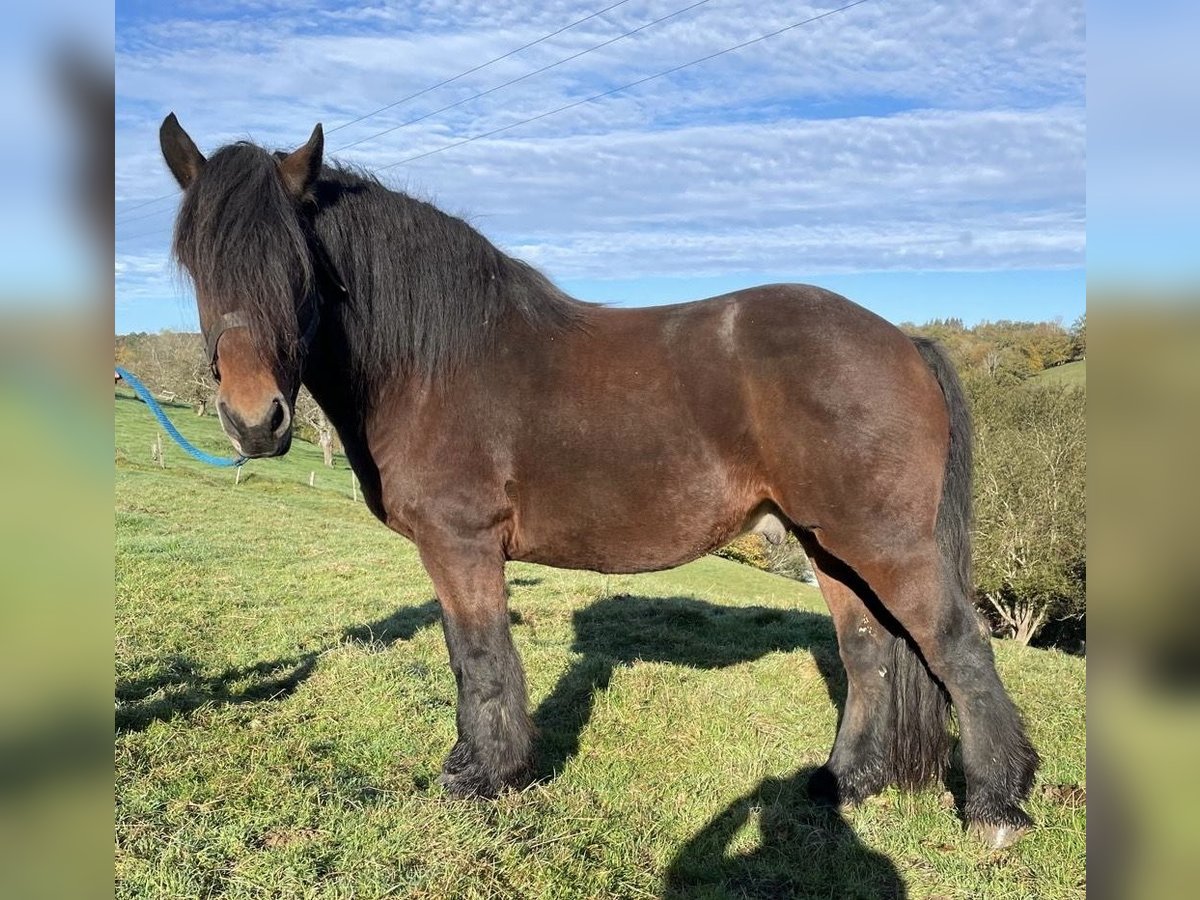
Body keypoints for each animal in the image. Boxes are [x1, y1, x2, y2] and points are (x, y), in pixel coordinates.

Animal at [159, 116, 1041, 849]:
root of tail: (901, 340)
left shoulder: (461, 541)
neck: (431, 361)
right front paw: (480, 765)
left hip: (883, 541)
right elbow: (465, 651)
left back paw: (996, 808)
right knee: (867, 653)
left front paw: (484, 777)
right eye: (197, 263)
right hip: (828, 544)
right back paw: (845, 784)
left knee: (957, 645)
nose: (255, 422)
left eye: (298, 265)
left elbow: (479, 653)